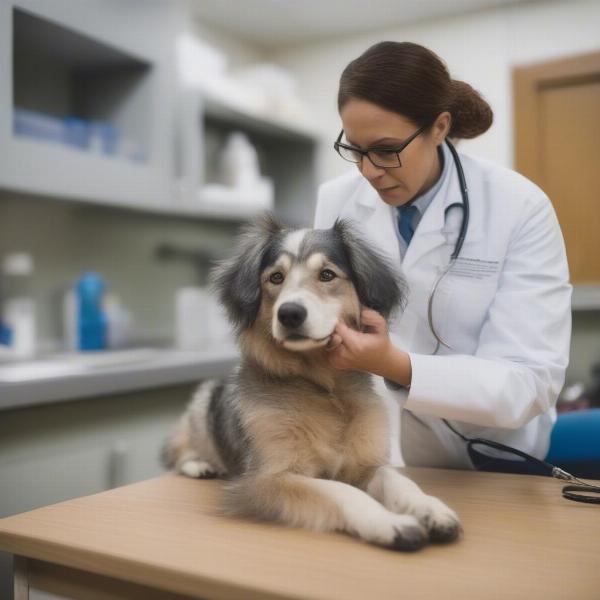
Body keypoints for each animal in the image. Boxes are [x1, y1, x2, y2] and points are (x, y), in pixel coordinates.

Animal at [159, 213, 460, 552]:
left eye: (327, 274)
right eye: (276, 277)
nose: (289, 314)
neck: (322, 388)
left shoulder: (366, 466)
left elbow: (400, 481)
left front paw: (430, 508)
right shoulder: (265, 480)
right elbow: (339, 491)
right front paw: (389, 523)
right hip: (203, 403)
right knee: (177, 450)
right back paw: (199, 465)